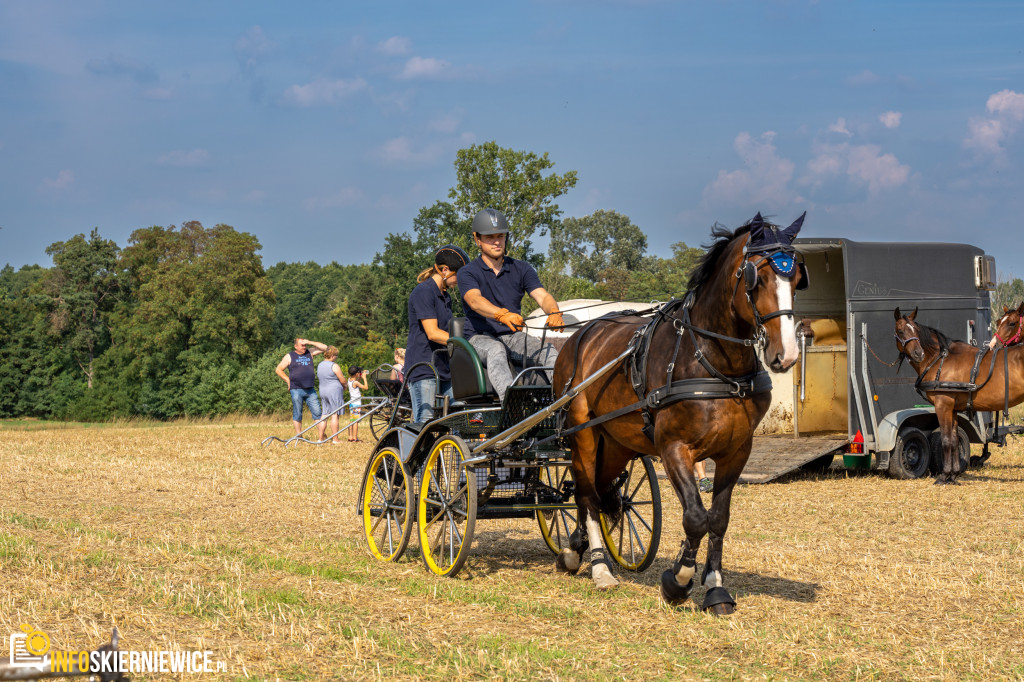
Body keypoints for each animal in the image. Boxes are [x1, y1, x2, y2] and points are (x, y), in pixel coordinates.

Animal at [552, 212, 806, 610]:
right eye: (757, 277)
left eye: (796, 278)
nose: (787, 354)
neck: (712, 361)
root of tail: (580, 335)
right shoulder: (673, 448)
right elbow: (695, 517)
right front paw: (678, 580)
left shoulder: (737, 451)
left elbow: (718, 518)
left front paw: (715, 586)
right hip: (583, 434)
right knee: (587, 494)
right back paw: (599, 568)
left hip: (618, 442)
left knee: (597, 488)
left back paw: (575, 550)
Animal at [892, 305, 1024, 481]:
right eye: (900, 331)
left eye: (916, 330)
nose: (918, 354)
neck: (940, 360)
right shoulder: (953, 408)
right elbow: (954, 440)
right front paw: (953, 474)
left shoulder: (943, 405)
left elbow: (946, 439)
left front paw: (944, 476)